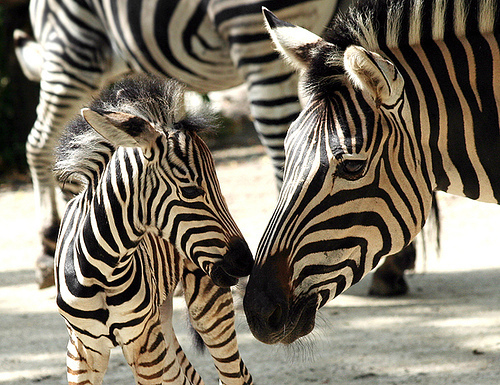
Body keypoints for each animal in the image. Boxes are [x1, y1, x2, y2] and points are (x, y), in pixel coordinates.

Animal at [53, 76, 254, 384]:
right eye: (191, 191)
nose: (246, 263)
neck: (101, 272)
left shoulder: (144, 343)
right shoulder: (80, 349)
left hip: (207, 307)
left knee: (236, 375)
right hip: (162, 318)